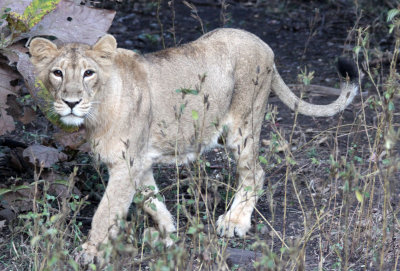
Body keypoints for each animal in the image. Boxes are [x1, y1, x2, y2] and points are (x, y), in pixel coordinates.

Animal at [29, 28, 358, 264]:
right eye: (57, 73)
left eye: (89, 73)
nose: (71, 102)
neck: (98, 108)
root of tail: (261, 42)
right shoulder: (140, 161)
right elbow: (149, 198)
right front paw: (167, 231)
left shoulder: (126, 164)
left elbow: (105, 212)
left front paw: (90, 252)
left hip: (242, 126)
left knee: (256, 172)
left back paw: (235, 221)